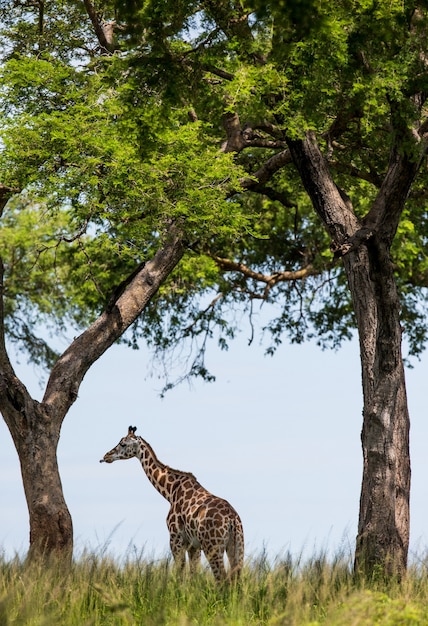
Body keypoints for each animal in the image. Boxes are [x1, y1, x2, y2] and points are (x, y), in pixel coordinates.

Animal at [99, 424, 244, 580]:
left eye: (123, 444)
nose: (106, 456)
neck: (170, 491)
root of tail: (232, 519)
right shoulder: (193, 545)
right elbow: (193, 575)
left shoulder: (176, 538)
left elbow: (180, 573)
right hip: (235, 545)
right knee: (235, 577)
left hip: (212, 546)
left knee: (222, 578)